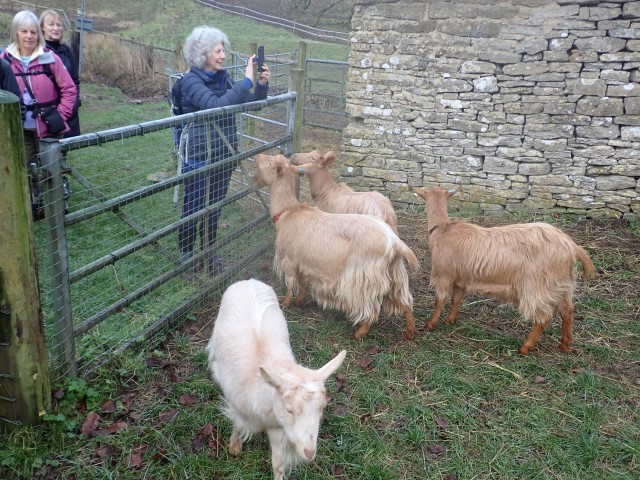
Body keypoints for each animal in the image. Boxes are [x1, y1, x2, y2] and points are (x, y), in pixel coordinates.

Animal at [206, 278, 344, 480]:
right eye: (289, 410)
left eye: (322, 407)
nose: (309, 453)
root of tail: (248, 280)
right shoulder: (238, 407)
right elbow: (237, 425)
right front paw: (234, 447)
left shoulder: (278, 428)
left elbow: (277, 463)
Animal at [252, 155, 422, 342]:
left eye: (270, 163)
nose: (257, 156)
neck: (288, 212)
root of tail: (395, 243)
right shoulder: (302, 262)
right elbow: (302, 283)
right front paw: (300, 300)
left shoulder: (289, 260)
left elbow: (290, 284)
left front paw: (286, 303)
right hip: (396, 275)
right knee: (406, 302)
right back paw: (410, 331)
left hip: (363, 279)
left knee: (372, 309)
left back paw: (360, 332)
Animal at [410, 182, 596, 354]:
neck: (443, 230)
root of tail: (571, 246)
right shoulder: (461, 278)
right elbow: (456, 300)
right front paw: (450, 320)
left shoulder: (444, 274)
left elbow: (439, 300)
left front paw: (431, 324)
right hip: (562, 284)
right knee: (567, 311)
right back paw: (564, 344)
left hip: (537, 285)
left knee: (543, 317)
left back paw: (525, 348)